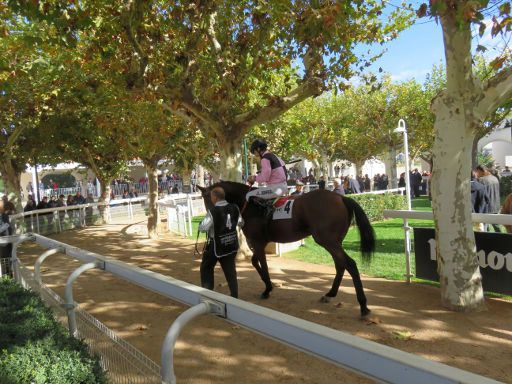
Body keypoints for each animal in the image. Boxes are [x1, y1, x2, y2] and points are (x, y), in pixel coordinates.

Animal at [197, 182, 376, 316]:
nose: (210, 218)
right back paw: (330, 294)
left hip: (328, 240)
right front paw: (269, 286)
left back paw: (363, 305)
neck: (250, 206)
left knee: (350, 264)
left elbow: (262, 264)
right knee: (340, 265)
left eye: (207, 199)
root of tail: (341, 197)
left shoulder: (257, 242)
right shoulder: (258, 243)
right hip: (333, 241)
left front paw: (267, 289)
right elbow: (255, 262)